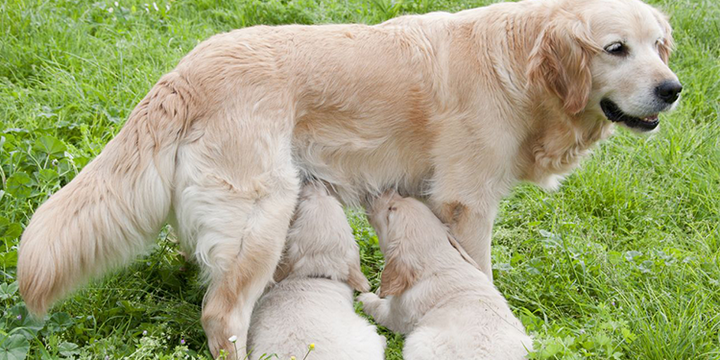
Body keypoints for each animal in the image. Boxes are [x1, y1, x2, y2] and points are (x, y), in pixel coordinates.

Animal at [360, 191, 536, 358]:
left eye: (391, 209)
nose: (384, 191)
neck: (437, 259)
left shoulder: (396, 315)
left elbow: (377, 307)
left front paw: (364, 297)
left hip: (418, 340)